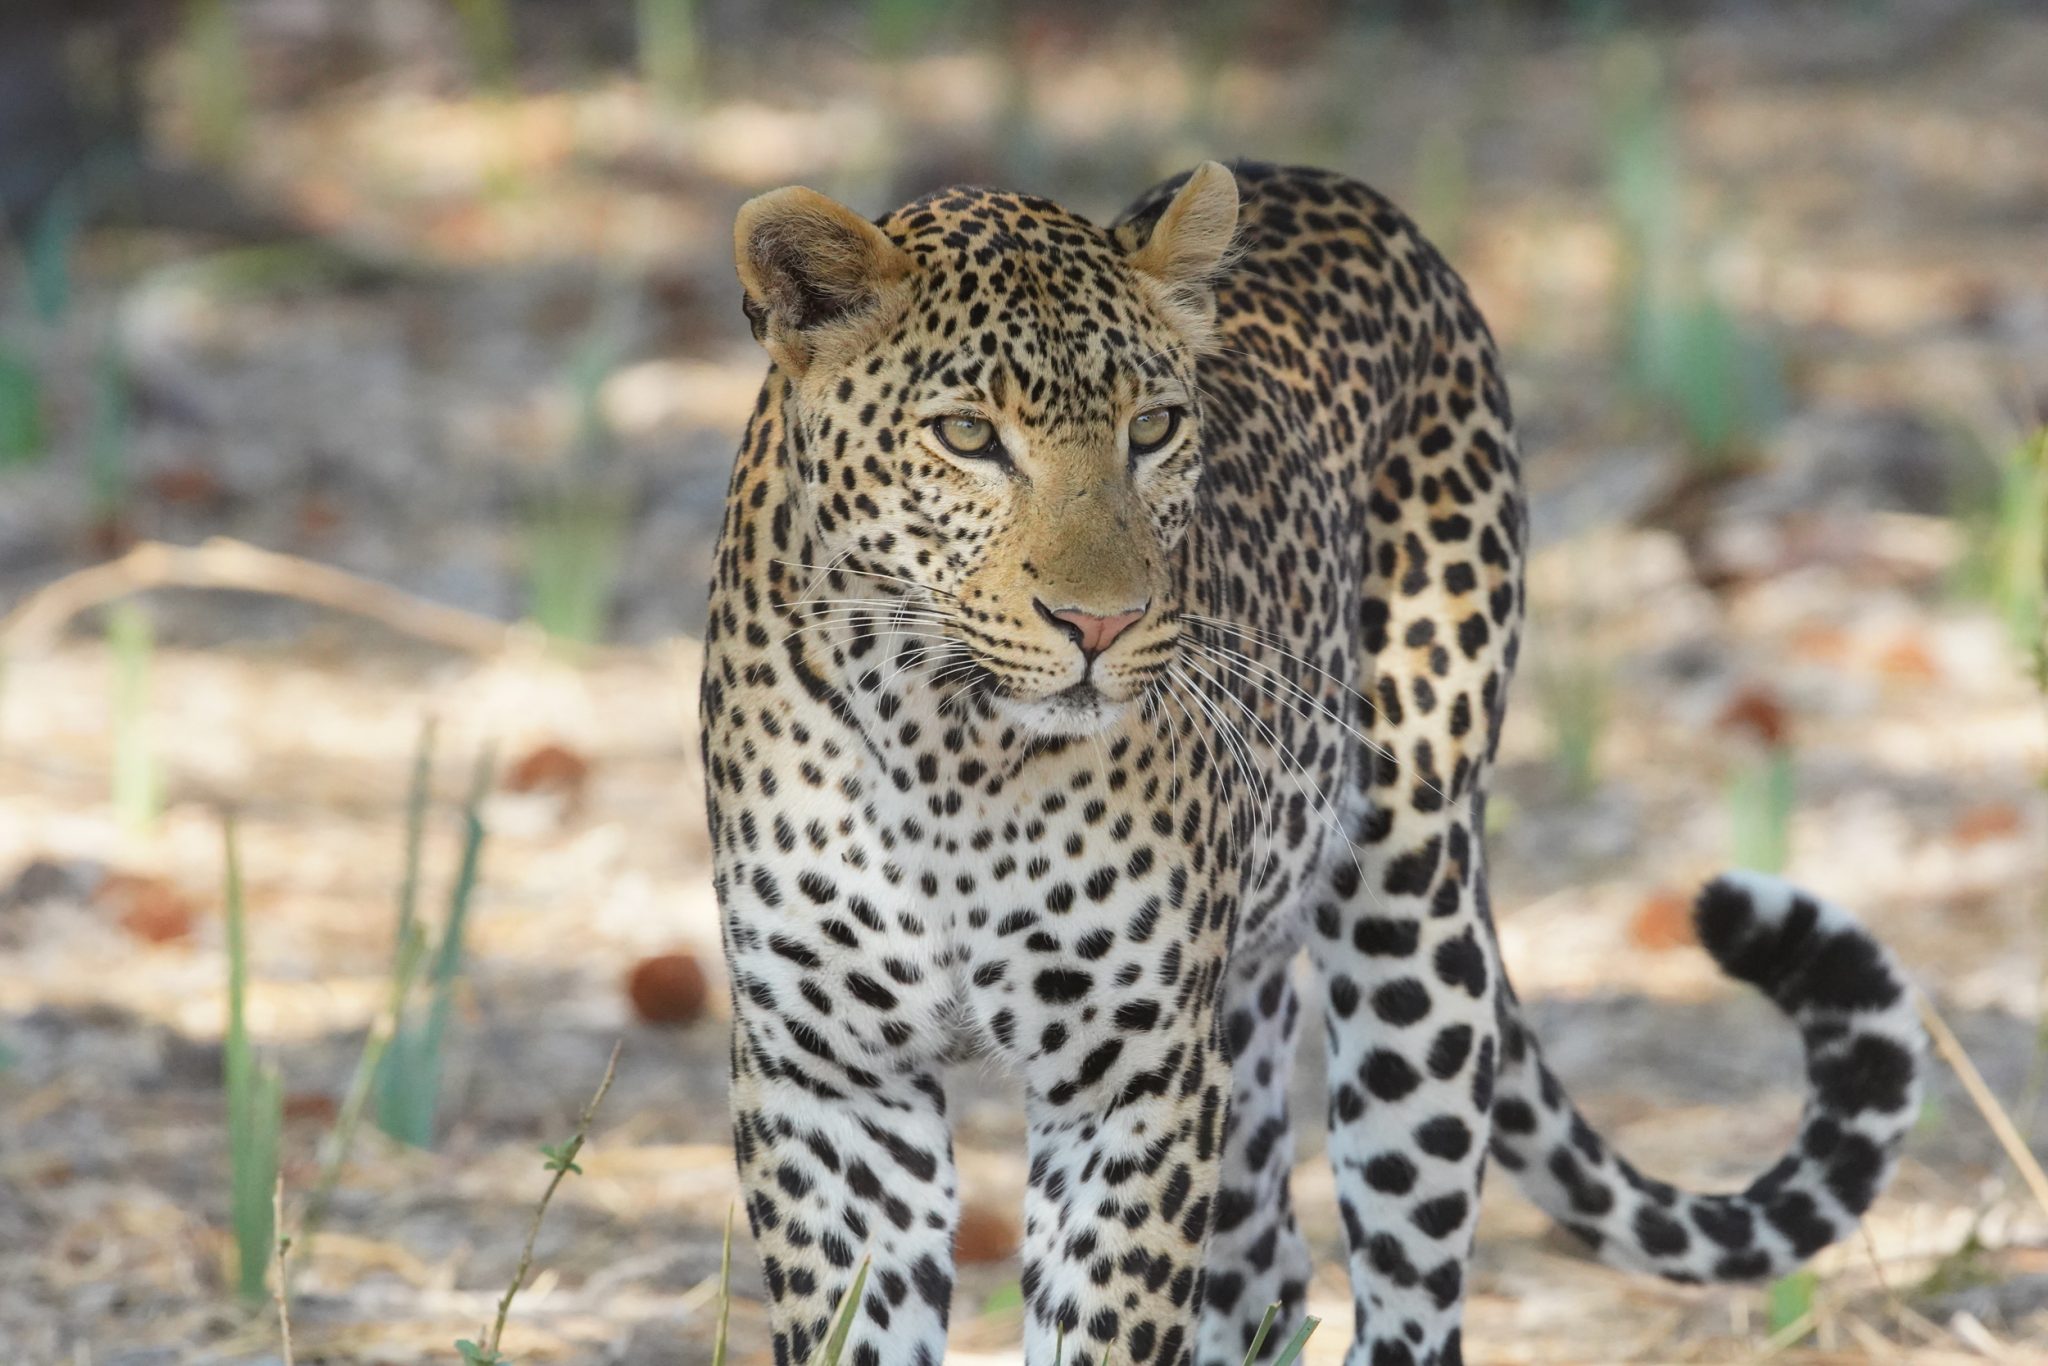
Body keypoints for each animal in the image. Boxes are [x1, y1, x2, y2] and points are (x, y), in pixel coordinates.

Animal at [699, 159, 1927, 1366]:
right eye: (965, 436)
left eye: (1152, 428)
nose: (1101, 624)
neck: (942, 744)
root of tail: (1335, 186)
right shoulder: (828, 1077)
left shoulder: (1135, 1079)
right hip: (1241, 1020)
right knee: (1266, 1273)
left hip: (1411, 920)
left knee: (1408, 1289)